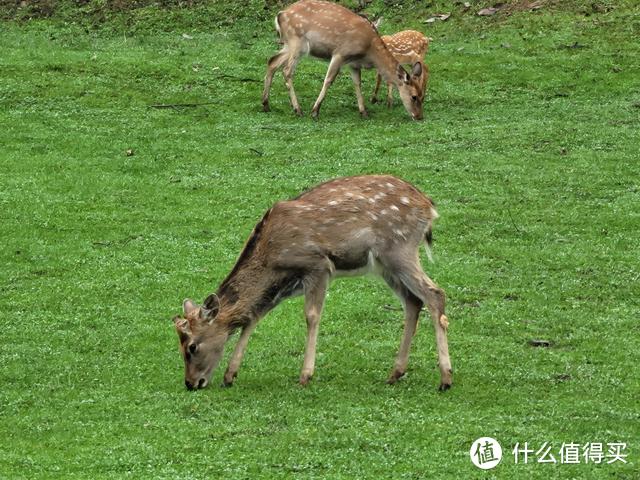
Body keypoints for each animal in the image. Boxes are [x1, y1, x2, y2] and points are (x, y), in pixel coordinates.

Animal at [172, 175, 452, 390]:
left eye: (192, 347)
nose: (191, 383)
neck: (270, 256)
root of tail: (429, 206)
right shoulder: (283, 284)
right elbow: (253, 317)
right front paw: (230, 375)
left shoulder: (317, 266)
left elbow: (311, 316)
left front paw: (305, 375)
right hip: (385, 265)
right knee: (413, 301)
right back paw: (396, 373)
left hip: (398, 249)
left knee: (435, 294)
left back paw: (445, 379)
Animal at [260, 0, 424, 120]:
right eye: (414, 96)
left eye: (423, 95)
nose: (419, 116)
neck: (369, 52)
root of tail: (280, 14)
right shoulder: (340, 53)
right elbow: (328, 80)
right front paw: (315, 111)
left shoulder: (353, 64)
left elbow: (357, 83)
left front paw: (364, 112)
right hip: (297, 42)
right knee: (286, 70)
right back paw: (297, 109)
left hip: (289, 44)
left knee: (272, 61)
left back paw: (266, 104)